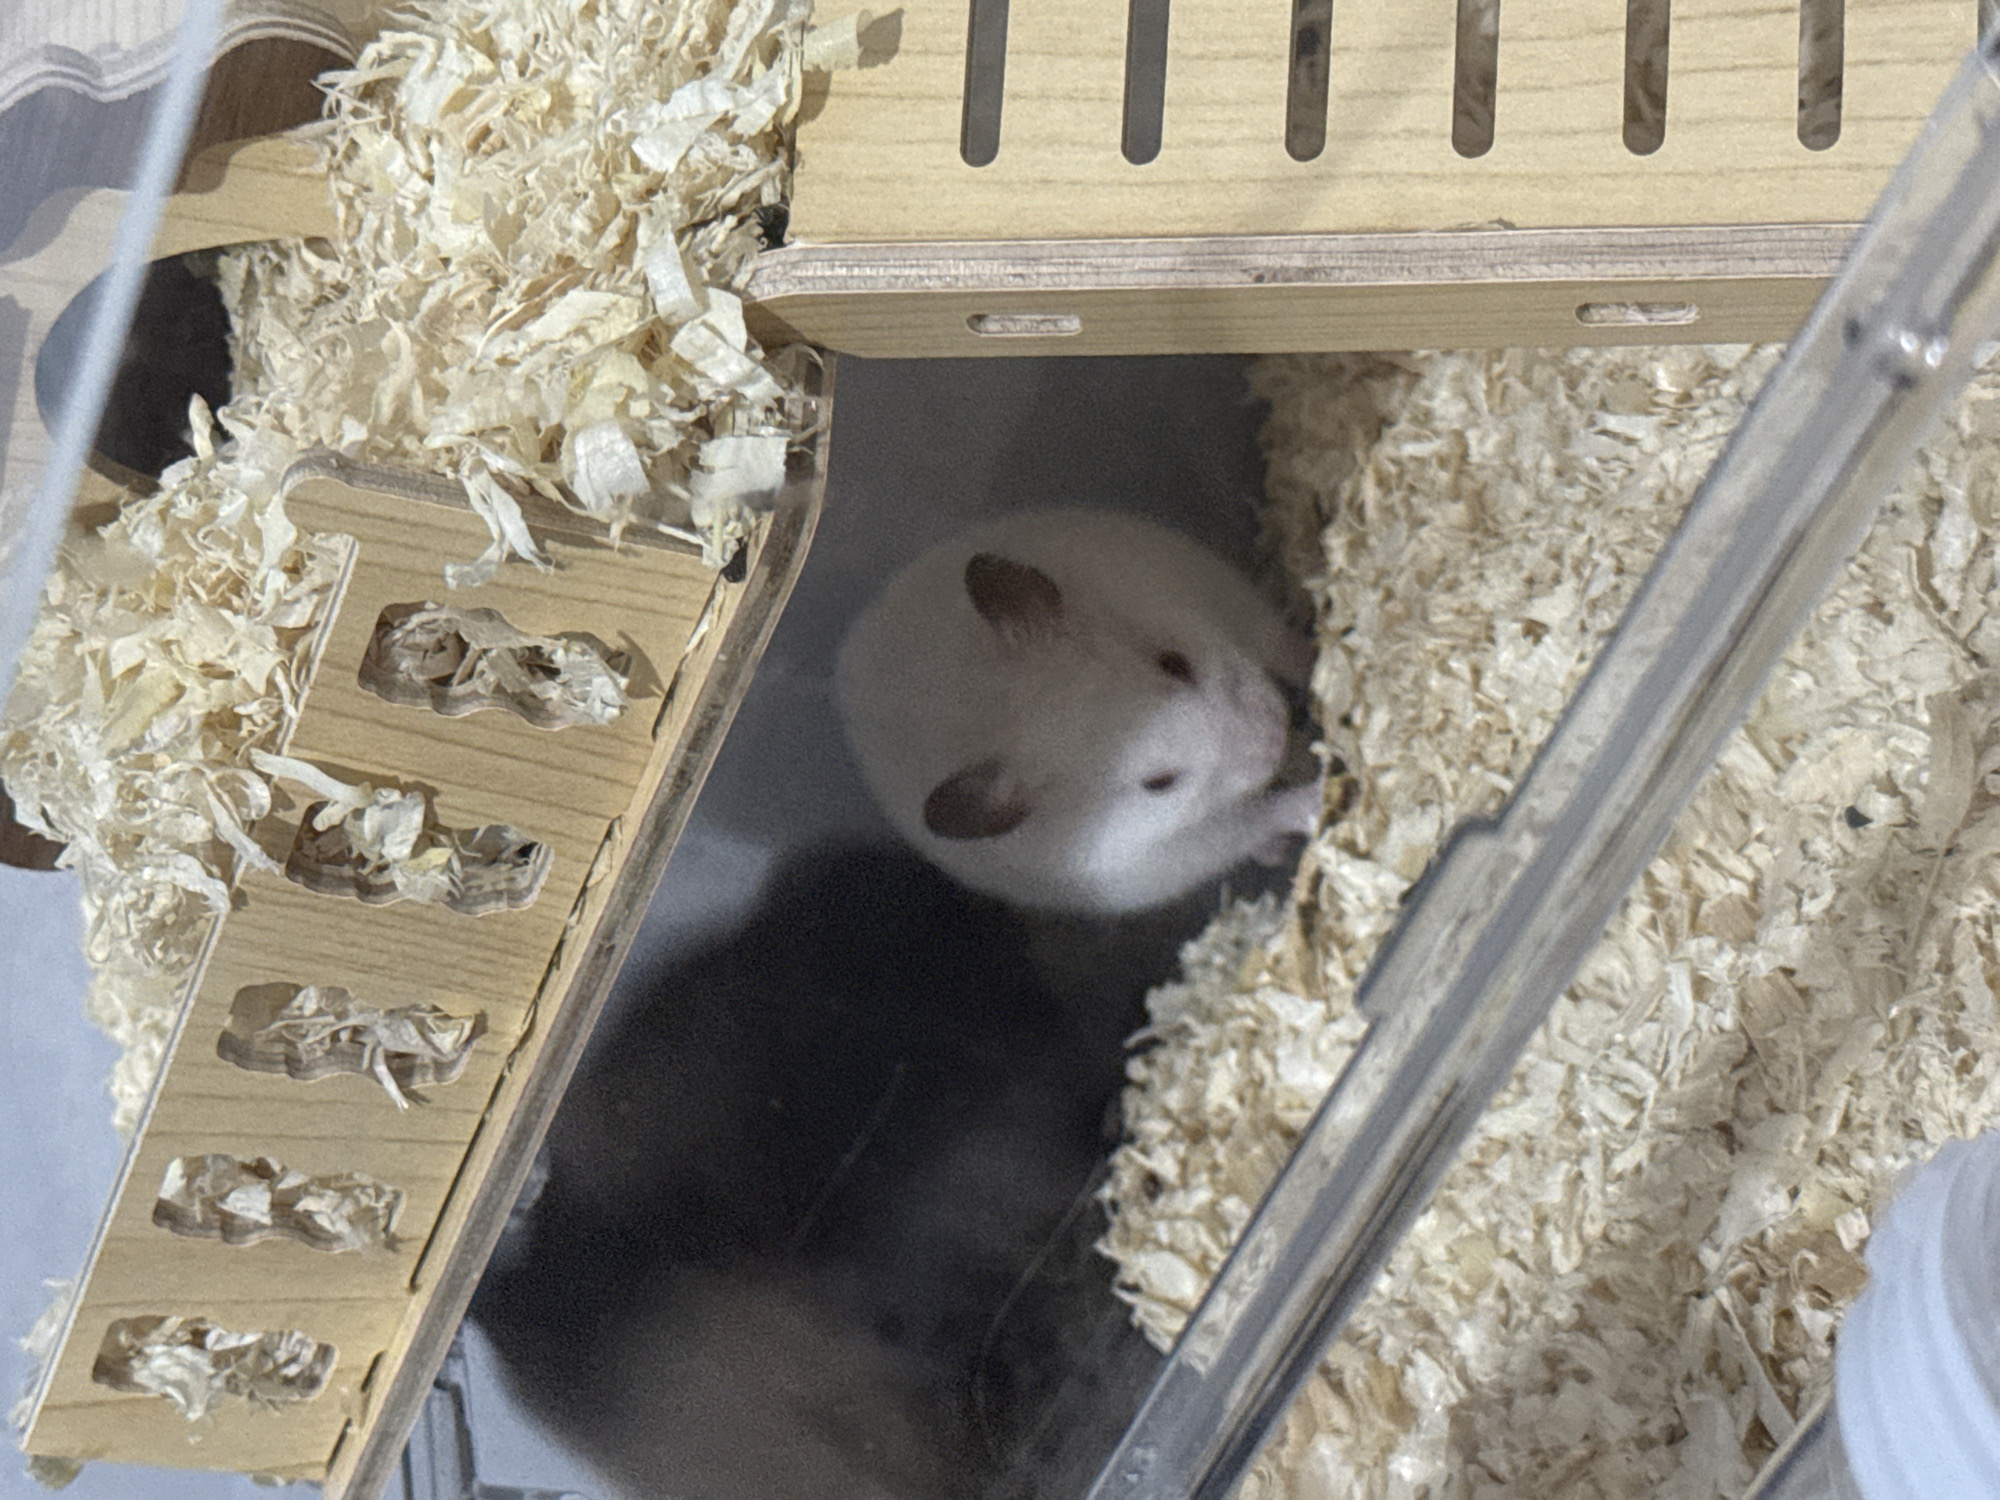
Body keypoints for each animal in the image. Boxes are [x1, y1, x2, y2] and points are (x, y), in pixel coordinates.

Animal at [834, 509, 1323, 914]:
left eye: (1175, 663)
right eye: (1159, 783)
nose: (1277, 730)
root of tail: (850, 653)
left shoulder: (1215, 592)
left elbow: (1279, 644)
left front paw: (1320, 655)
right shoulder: (1167, 853)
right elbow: (1253, 821)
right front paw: (1313, 804)